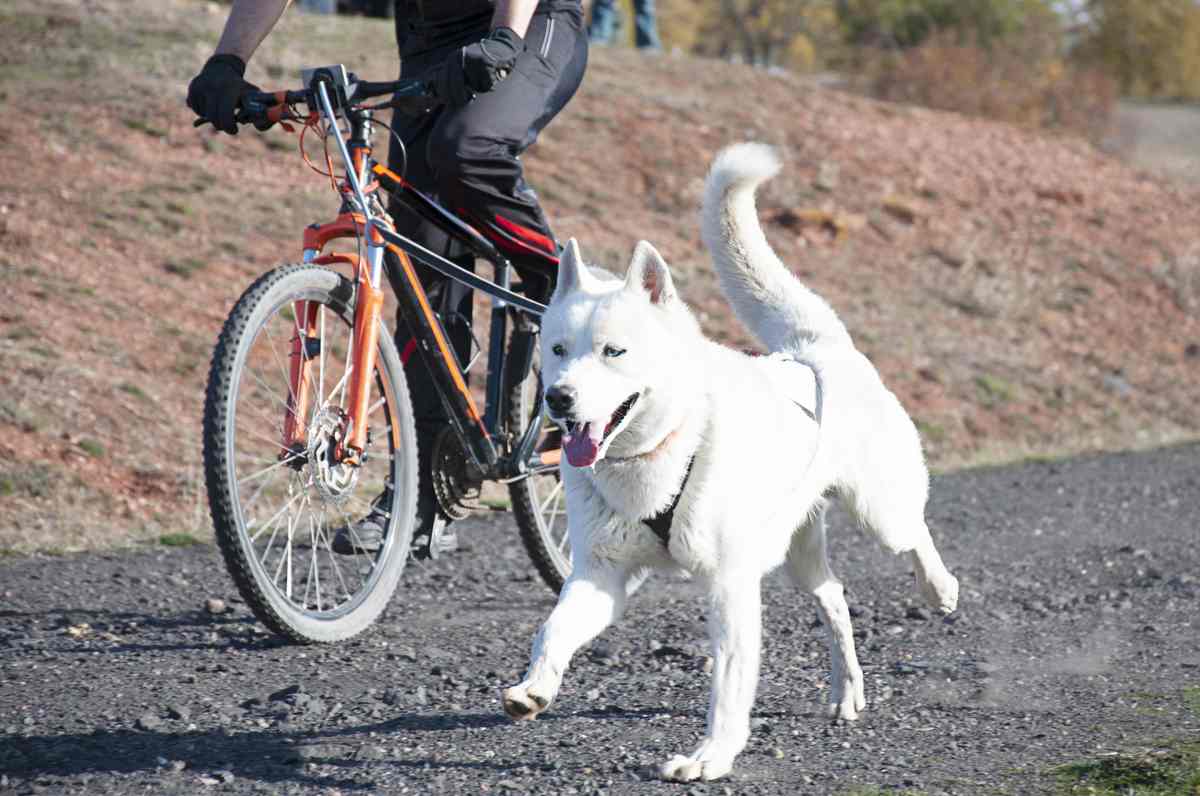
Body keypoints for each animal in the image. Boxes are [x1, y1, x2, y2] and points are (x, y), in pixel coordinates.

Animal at [501, 143, 960, 782]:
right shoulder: (601, 577)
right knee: (835, 598)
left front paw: (711, 756)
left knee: (914, 533)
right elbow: (552, 630)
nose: (558, 398)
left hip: (879, 515)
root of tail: (815, 348)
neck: (662, 451)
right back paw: (847, 691)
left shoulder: (728, 588)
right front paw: (534, 688)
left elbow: (727, 683)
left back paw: (940, 589)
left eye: (614, 351)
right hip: (798, 556)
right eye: (558, 349)